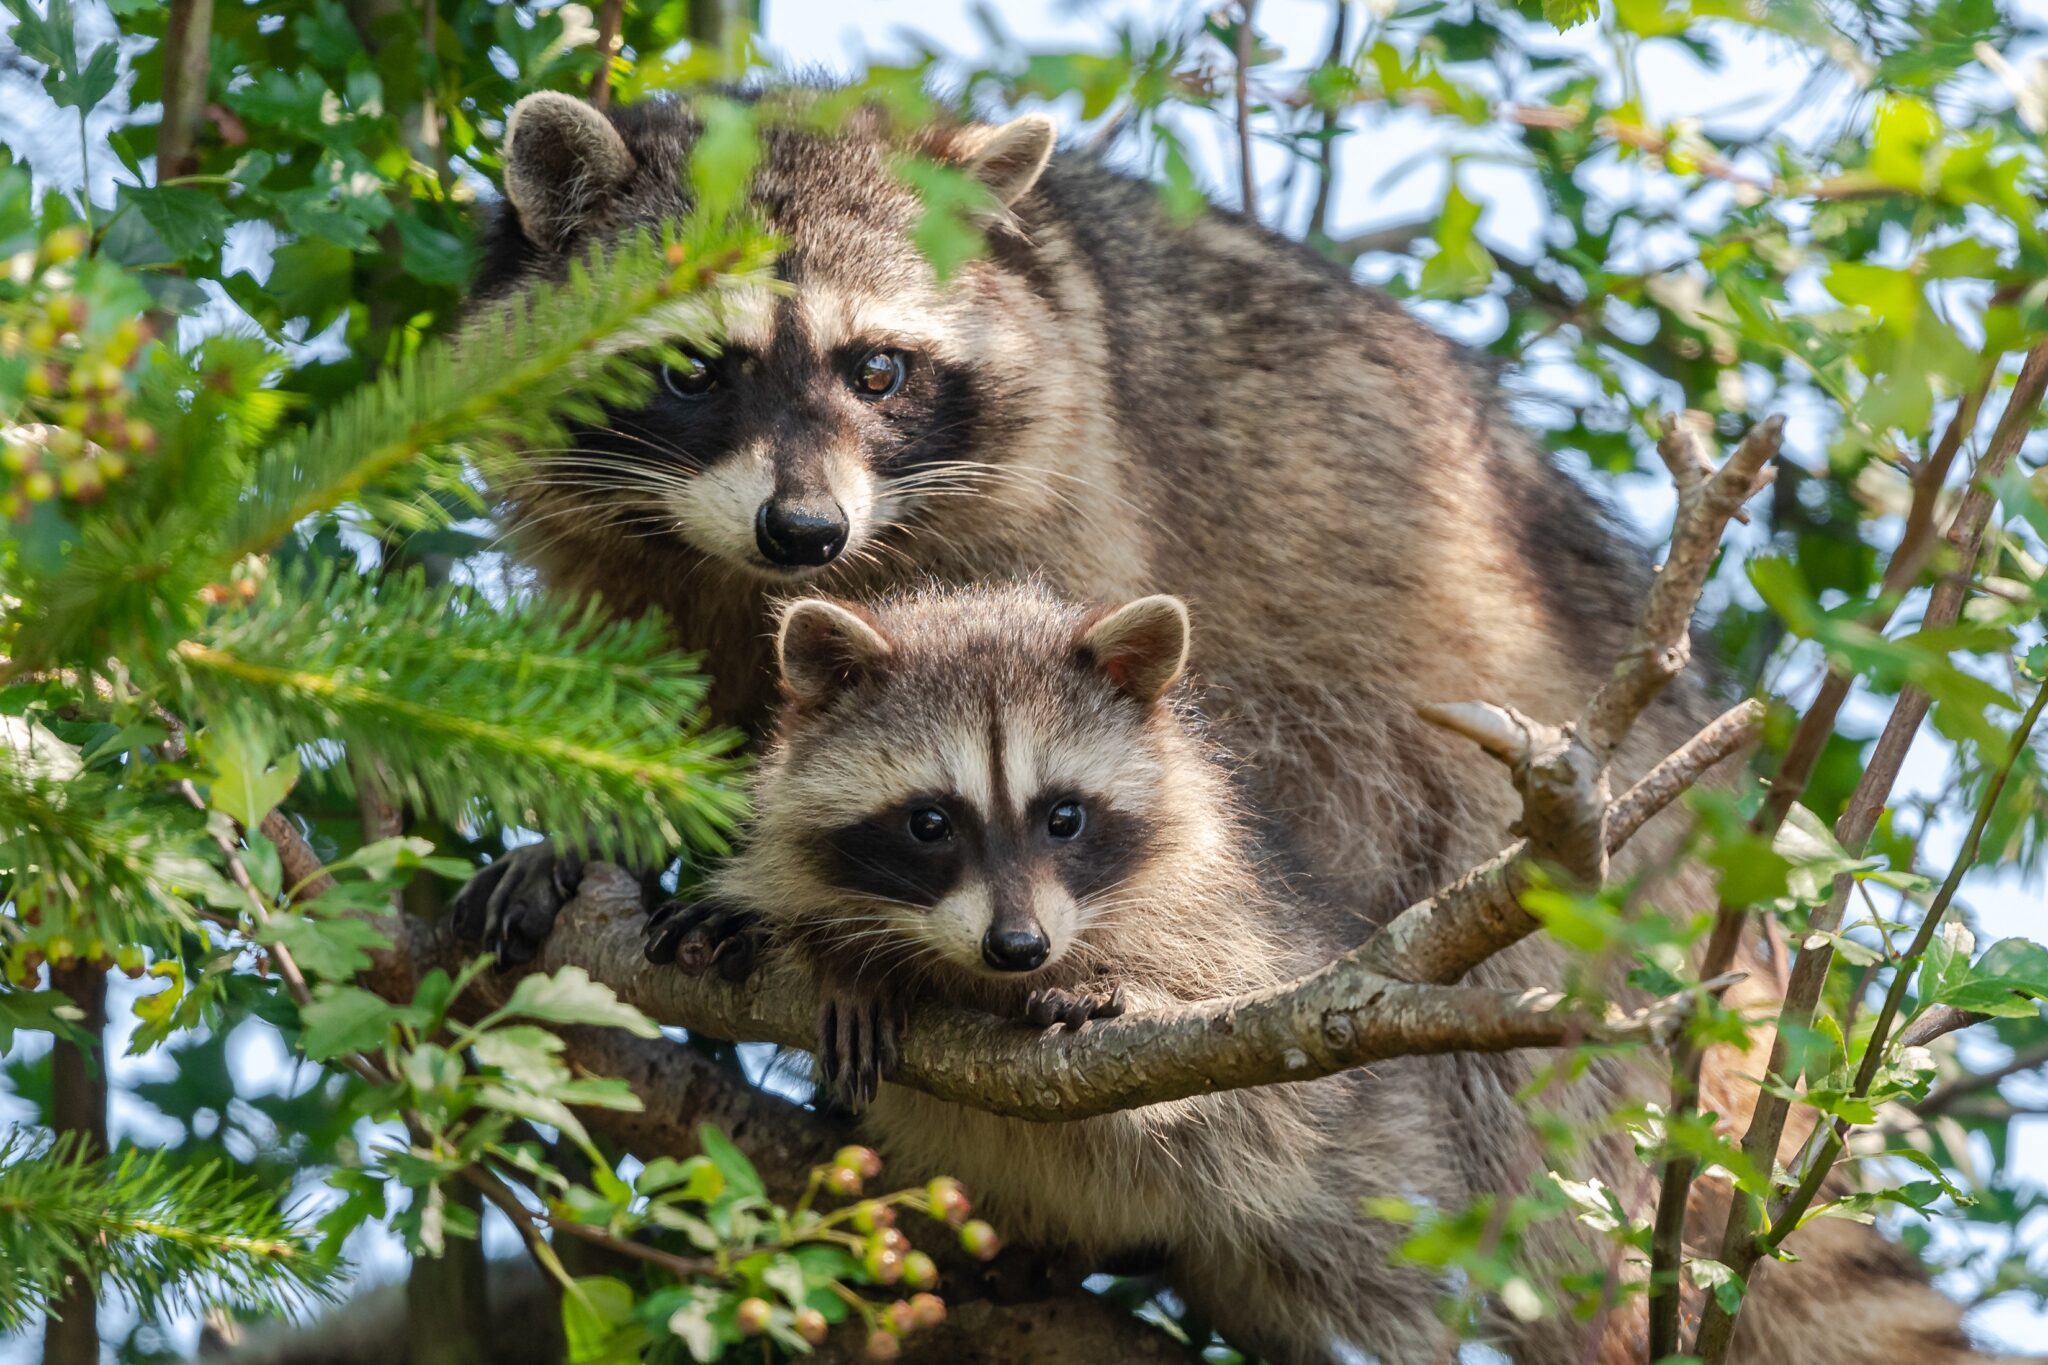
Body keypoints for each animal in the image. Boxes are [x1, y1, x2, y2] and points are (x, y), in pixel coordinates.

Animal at [452, 90, 2015, 1358]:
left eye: (876, 369)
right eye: (693, 369)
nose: (803, 531)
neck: (749, 570)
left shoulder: (1062, 511)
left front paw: (761, 905)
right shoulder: (636, 549)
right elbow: (650, 696)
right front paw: (601, 840)